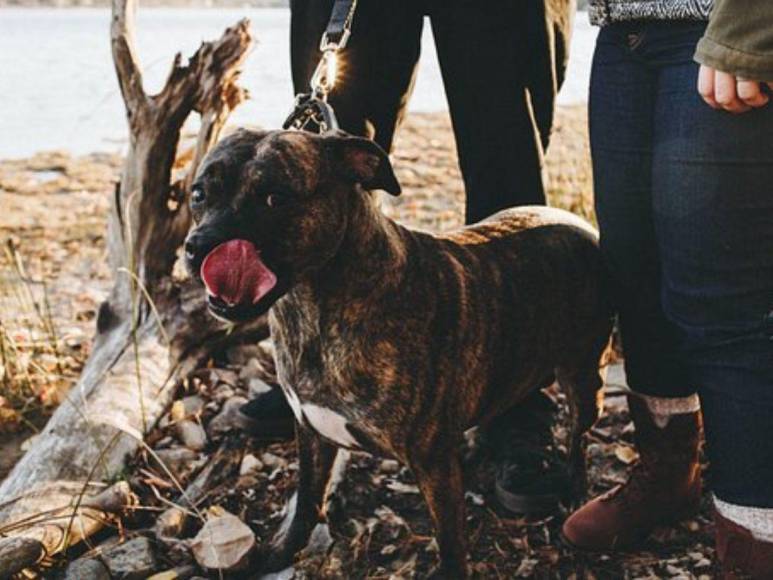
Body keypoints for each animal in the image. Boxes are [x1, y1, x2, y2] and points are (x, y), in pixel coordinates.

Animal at [184, 127, 612, 576]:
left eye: (275, 198)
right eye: (198, 194)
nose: (199, 247)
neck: (314, 305)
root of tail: (576, 221)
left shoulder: (433, 464)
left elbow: (450, 540)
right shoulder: (312, 434)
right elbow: (306, 502)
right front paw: (280, 552)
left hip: (586, 379)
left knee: (579, 437)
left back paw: (575, 490)